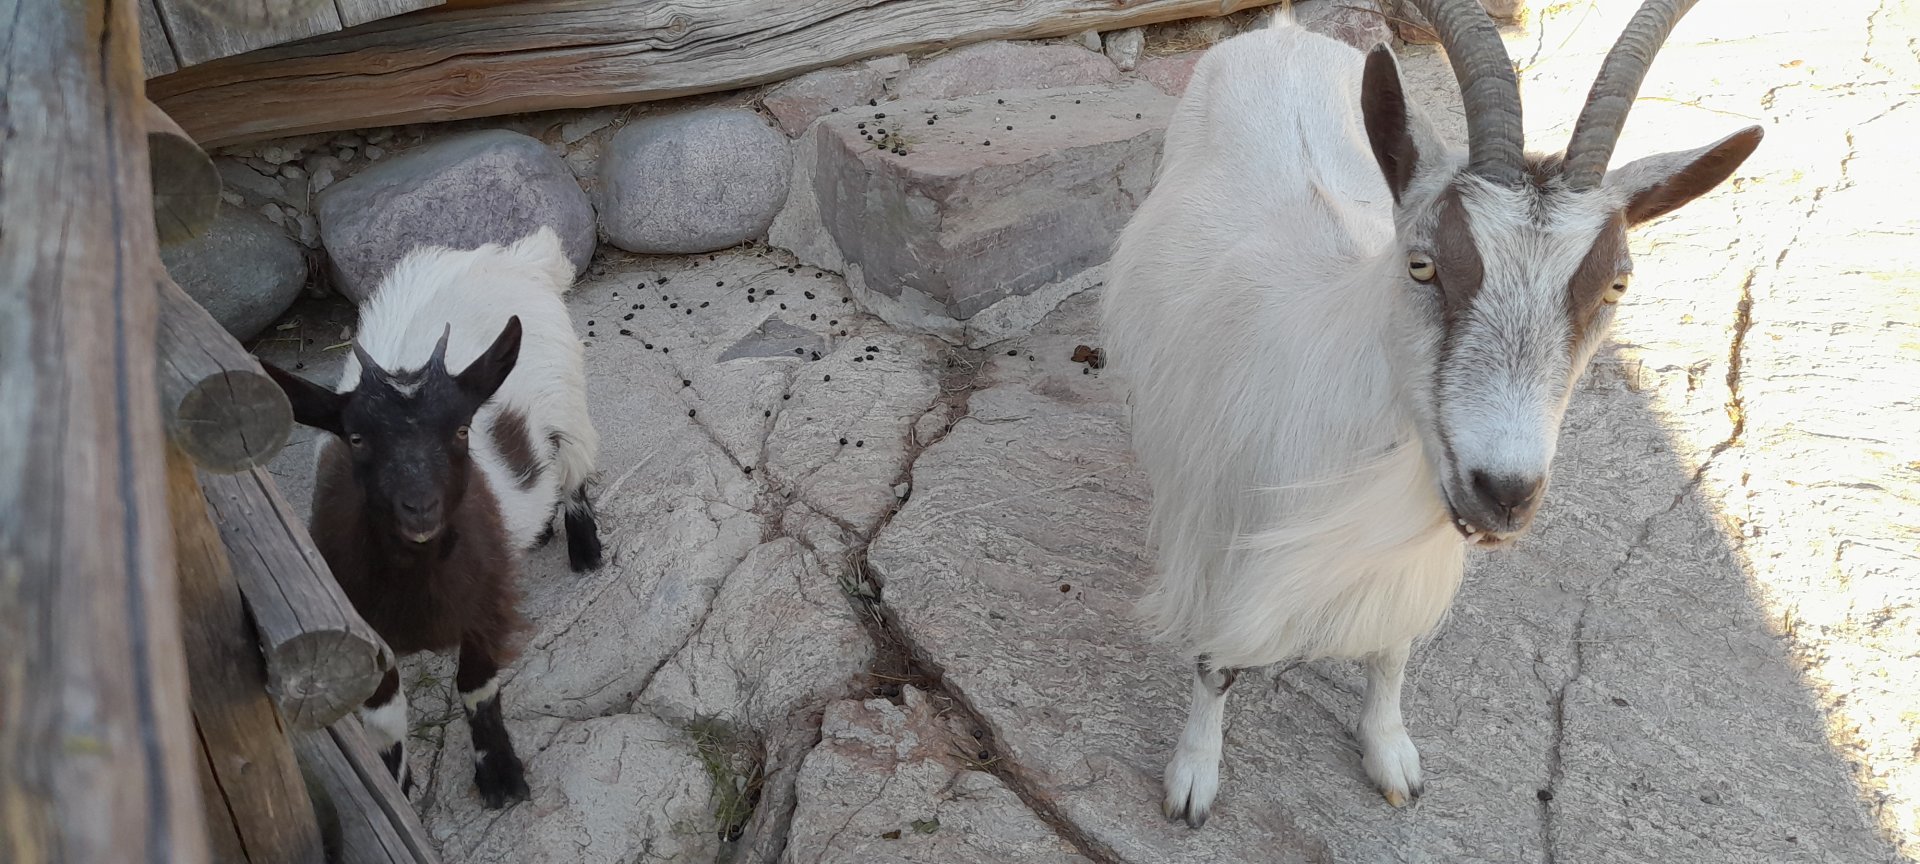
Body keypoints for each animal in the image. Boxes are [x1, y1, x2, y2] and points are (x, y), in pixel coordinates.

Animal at [263, 227, 602, 808]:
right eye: (356, 438)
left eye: (462, 428)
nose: (420, 508)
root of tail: (518, 258)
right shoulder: (363, 632)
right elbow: (382, 718)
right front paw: (396, 787)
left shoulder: (486, 606)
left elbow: (477, 687)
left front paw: (501, 776)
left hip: (568, 405)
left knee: (573, 467)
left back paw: (585, 550)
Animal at [1101, 0, 1760, 826]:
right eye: (1423, 264)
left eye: (1616, 285)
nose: (1504, 491)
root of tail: (1282, 34)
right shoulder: (1222, 532)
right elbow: (1216, 660)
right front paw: (1193, 777)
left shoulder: (1406, 553)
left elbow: (1393, 646)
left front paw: (1390, 753)